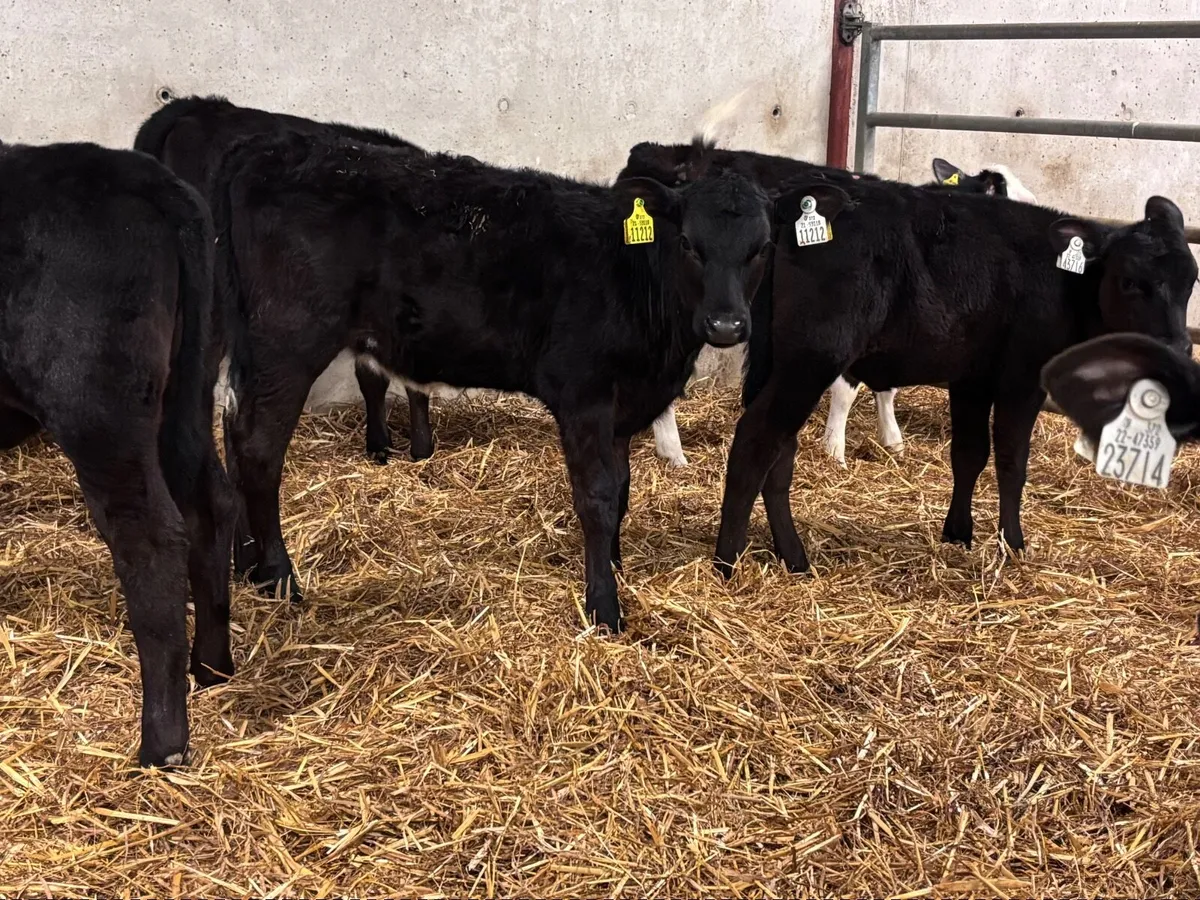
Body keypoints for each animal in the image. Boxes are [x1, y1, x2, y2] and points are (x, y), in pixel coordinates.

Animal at [0, 142, 234, 768]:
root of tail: (138, 173)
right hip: (186, 391)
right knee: (210, 505)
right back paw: (213, 667)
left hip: (98, 408)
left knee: (151, 538)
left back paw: (162, 742)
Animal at [210, 132, 774, 633]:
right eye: (688, 243)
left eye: (761, 248)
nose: (727, 325)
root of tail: (262, 151)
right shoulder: (584, 395)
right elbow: (596, 498)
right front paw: (604, 607)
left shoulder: (621, 404)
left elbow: (622, 490)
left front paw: (613, 567)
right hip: (288, 342)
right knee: (258, 450)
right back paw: (279, 577)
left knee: (234, 438)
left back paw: (246, 565)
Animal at [710, 178, 1194, 577]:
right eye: (1130, 281)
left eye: (1192, 279)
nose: (1177, 348)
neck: (1064, 280)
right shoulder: (1022, 381)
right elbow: (1011, 462)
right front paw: (1012, 543)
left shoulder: (971, 379)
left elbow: (969, 454)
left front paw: (958, 532)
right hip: (813, 359)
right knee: (757, 439)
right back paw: (727, 562)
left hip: (778, 361)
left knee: (780, 452)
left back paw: (793, 557)